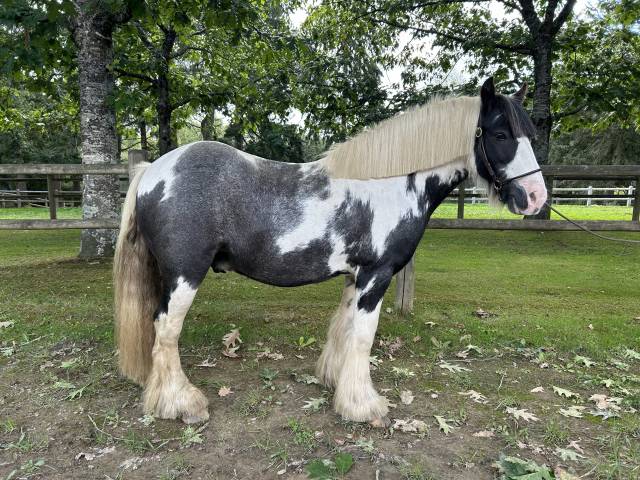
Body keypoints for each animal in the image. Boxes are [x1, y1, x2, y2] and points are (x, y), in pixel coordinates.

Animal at [114, 77, 547, 424]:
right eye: (501, 135)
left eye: (530, 135)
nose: (535, 197)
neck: (389, 183)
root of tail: (153, 170)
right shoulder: (376, 275)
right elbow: (363, 337)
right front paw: (363, 406)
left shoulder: (356, 277)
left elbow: (344, 329)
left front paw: (336, 383)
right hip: (184, 274)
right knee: (166, 329)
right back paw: (180, 404)